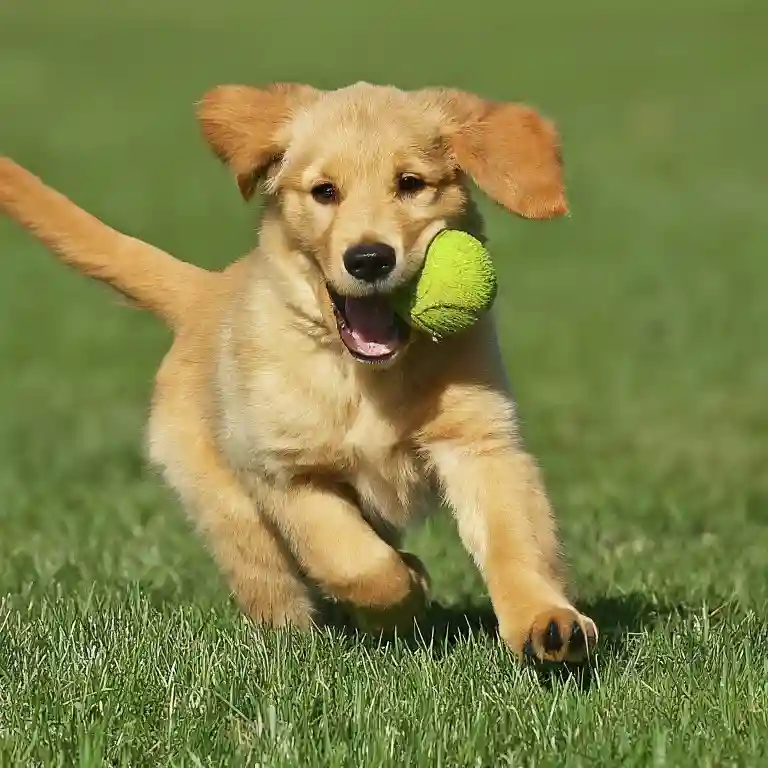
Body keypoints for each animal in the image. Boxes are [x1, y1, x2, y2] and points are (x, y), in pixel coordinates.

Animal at [0, 81, 600, 664]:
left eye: (410, 183)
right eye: (324, 192)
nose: (369, 258)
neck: (364, 375)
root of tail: (206, 291)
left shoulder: (481, 442)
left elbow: (513, 539)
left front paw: (546, 620)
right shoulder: (282, 471)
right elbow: (357, 562)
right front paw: (401, 597)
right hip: (229, 511)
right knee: (273, 588)